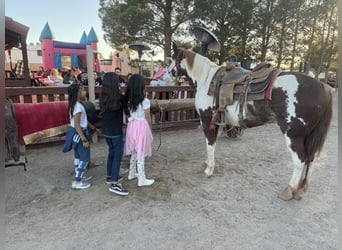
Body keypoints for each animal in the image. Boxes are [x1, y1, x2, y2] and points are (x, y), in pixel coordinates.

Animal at [170, 42, 332, 199]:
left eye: (171, 59)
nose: (169, 74)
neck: (207, 80)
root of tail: (322, 86)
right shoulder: (215, 122)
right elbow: (213, 144)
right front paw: (208, 163)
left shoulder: (206, 119)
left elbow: (210, 144)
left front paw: (209, 169)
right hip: (308, 136)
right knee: (311, 159)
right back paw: (301, 190)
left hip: (293, 135)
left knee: (301, 160)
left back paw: (289, 190)